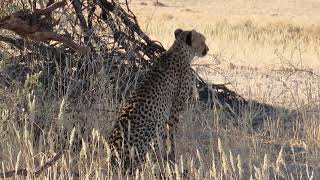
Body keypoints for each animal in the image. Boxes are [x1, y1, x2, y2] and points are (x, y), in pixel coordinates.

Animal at [108, 28, 210, 174]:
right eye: (202, 41)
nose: (207, 49)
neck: (179, 51)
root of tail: (114, 157)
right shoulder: (174, 111)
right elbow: (172, 135)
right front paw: (172, 156)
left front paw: (168, 155)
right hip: (156, 126)